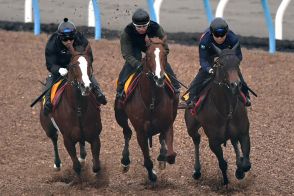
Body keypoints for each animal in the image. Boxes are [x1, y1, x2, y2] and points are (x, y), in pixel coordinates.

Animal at [39, 43, 102, 179]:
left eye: (89, 64)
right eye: (73, 65)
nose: (86, 86)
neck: (78, 108)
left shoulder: (95, 136)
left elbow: (96, 166)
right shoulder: (68, 140)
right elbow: (76, 166)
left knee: (82, 143)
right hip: (48, 128)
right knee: (54, 139)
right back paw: (57, 164)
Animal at [114, 36, 179, 183]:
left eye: (165, 54)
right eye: (148, 55)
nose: (159, 78)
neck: (151, 100)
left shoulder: (167, 124)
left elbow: (171, 154)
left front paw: (163, 157)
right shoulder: (141, 132)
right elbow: (147, 160)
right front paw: (152, 175)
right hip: (119, 116)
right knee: (127, 133)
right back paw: (125, 161)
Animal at [184, 42, 250, 185]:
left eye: (237, 62)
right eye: (221, 64)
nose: (236, 85)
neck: (226, 109)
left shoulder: (244, 133)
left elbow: (246, 164)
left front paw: (240, 170)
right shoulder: (213, 141)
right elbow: (223, 163)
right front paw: (225, 180)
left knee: (234, 141)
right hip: (191, 127)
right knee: (196, 139)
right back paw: (197, 171)